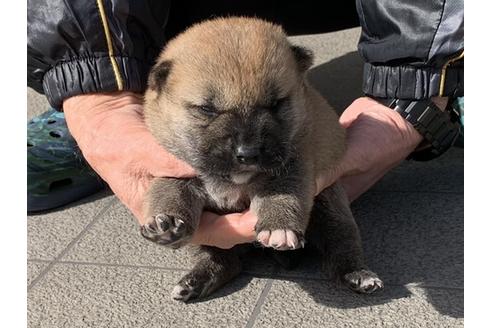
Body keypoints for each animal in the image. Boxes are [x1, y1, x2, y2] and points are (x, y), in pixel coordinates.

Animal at [140, 16, 382, 302]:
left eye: (275, 104)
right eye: (207, 109)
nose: (248, 153)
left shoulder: (296, 162)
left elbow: (282, 193)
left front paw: (279, 227)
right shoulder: (172, 166)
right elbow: (169, 190)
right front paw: (165, 223)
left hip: (333, 204)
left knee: (342, 243)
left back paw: (358, 275)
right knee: (223, 260)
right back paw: (196, 280)